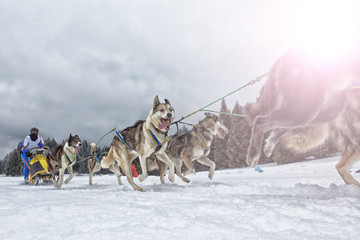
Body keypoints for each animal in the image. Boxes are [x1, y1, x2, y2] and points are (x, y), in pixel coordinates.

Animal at [245, 47, 360, 186]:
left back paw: (268, 147)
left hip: (320, 113)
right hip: (306, 110)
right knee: (261, 120)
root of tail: (289, 54)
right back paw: (253, 155)